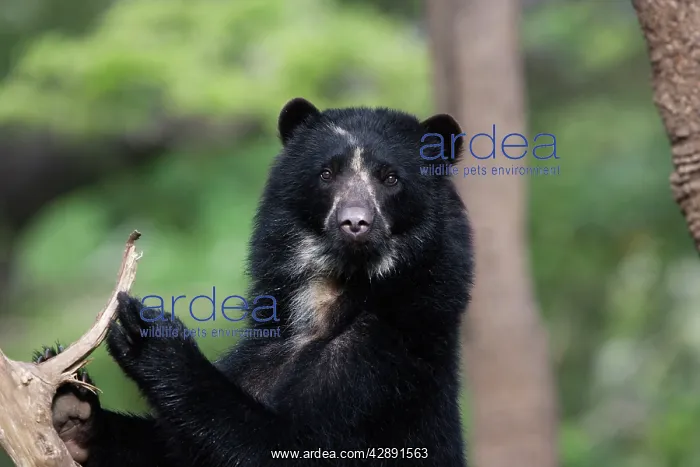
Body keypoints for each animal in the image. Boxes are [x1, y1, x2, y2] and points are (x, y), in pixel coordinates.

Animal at [33, 97, 474, 466]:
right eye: (326, 173)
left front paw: (148, 331)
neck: (334, 295)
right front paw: (71, 408)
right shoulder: (262, 351)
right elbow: (174, 450)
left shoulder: (387, 368)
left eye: (390, 178)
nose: (355, 223)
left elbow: (285, 445)